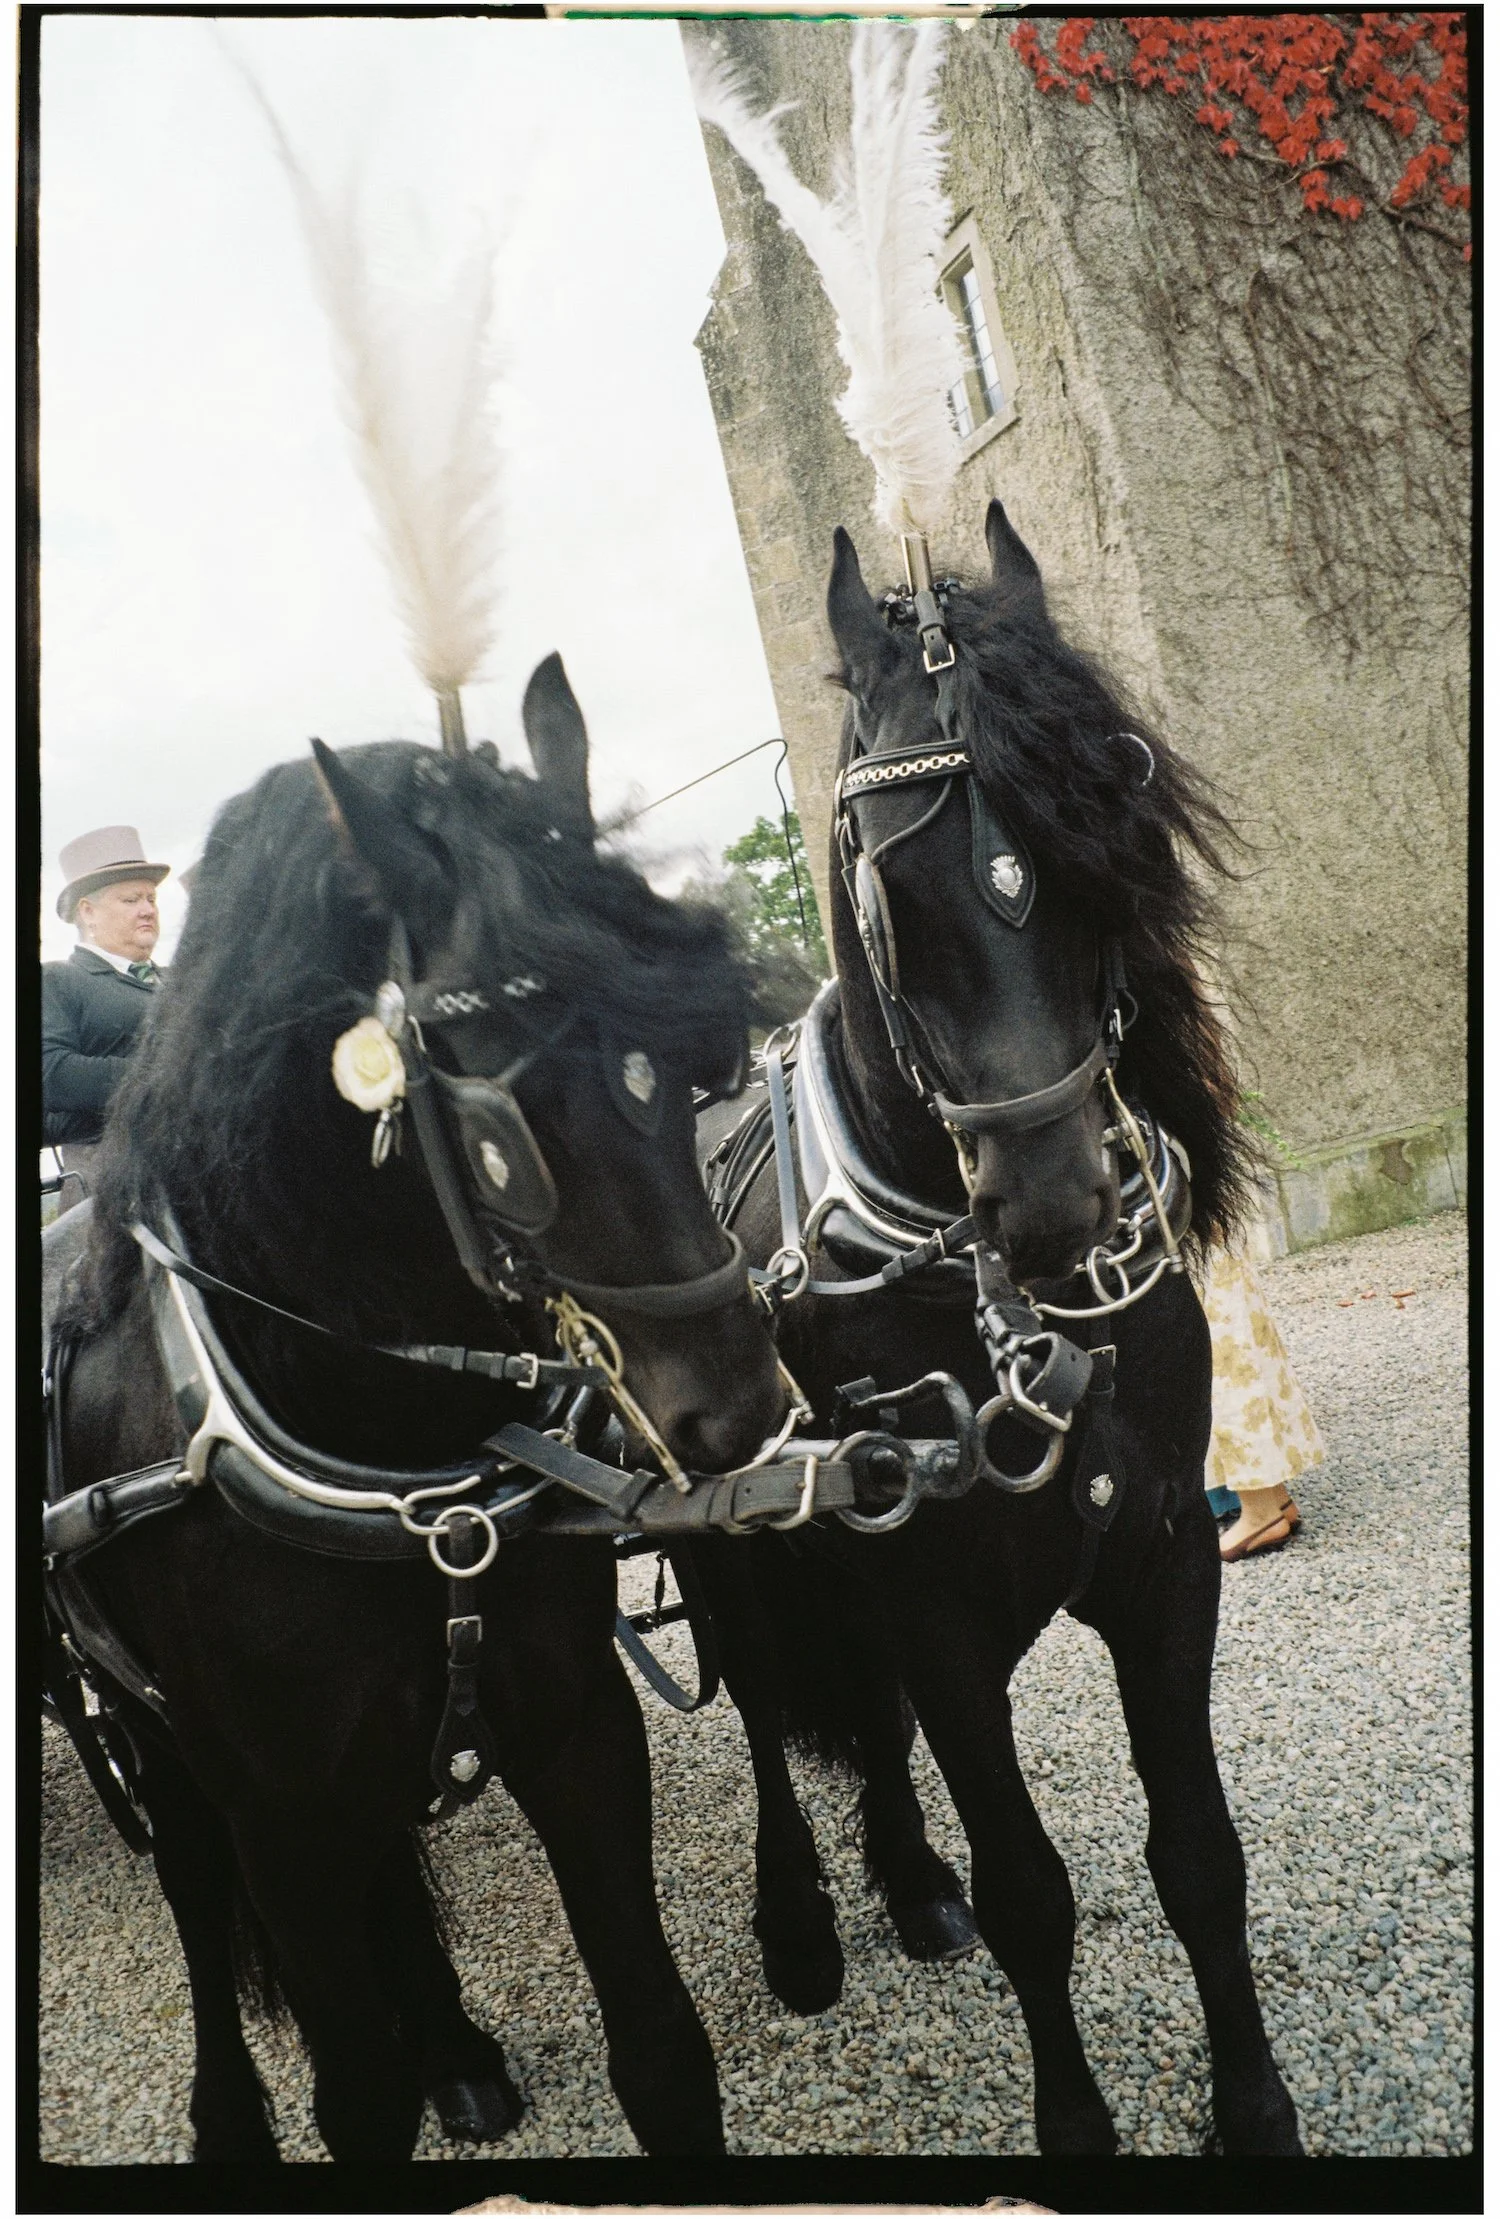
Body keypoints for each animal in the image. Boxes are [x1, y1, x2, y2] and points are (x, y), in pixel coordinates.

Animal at [41, 655, 787, 2163]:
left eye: (694, 1057)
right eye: (498, 1117)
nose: (736, 1408)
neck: (391, 1444)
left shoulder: (574, 1722)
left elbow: (664, 2052)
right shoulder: (274, 1809)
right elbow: (355, 2099)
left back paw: (452, 2043)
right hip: (146, 1731)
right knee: (196, 1895)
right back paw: (229, 2115)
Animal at [683, 502, 1303, 2157]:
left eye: (1104, 849)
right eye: (891, 890)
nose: (1055, 1203)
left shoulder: (1163, 1555)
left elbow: (1199, 1852)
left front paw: (1257, 2111)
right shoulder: (935, 1606)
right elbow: (1034, 1891)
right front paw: (1077, 2137)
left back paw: (907, 1879)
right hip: (727, 1546)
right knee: (761, 1704)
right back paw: (802, 1919)